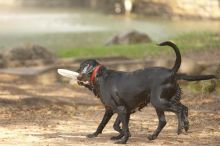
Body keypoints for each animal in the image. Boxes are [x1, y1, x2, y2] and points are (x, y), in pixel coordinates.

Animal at [76, 41, 216, 144]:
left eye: (80, 68)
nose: (77, 76)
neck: (100, 76)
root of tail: (172, 72)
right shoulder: (115, 110)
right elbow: (107, 125)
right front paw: (95, 134)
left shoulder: (121, 109)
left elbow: (122, 127)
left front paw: (123, 140)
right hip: (163, 102)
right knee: (174, 114)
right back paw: (166, 132)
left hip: (158, 102)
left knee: (178, 110)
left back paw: (180, 128)